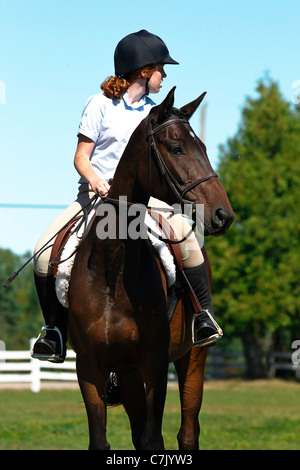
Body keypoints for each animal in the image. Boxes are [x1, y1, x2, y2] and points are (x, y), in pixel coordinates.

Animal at [68, 86, 234, 450]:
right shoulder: (89, 367)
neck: (112, 270)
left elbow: (154, 437)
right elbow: (101, 439)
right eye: (176, 148)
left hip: (192, 361)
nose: (223, 215)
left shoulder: (155, 365)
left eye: (204, 148)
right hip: (128, 374)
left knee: (187, 432)